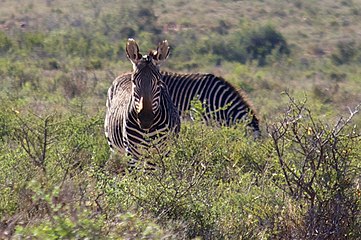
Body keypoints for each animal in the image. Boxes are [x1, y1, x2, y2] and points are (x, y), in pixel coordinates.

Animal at [104, 39, 180, 169]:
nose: (145, 119)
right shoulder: (132, 154)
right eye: (134, 81)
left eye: (159, 82)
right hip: (115, 147)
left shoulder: (162, 152)